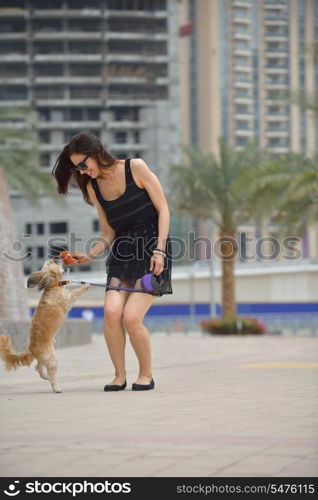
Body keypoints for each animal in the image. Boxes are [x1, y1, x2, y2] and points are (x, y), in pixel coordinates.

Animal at [0, 260, 90, 392]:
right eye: (54, 262)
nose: (58, 258)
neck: (53, 286)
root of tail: (31, 349)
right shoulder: (67, 301)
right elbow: (75, 293)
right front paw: (85, 286)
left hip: (45, 359)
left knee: (39, 369)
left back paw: (47, 378)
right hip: (52, 360)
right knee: (50, 373)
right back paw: (56, 387)